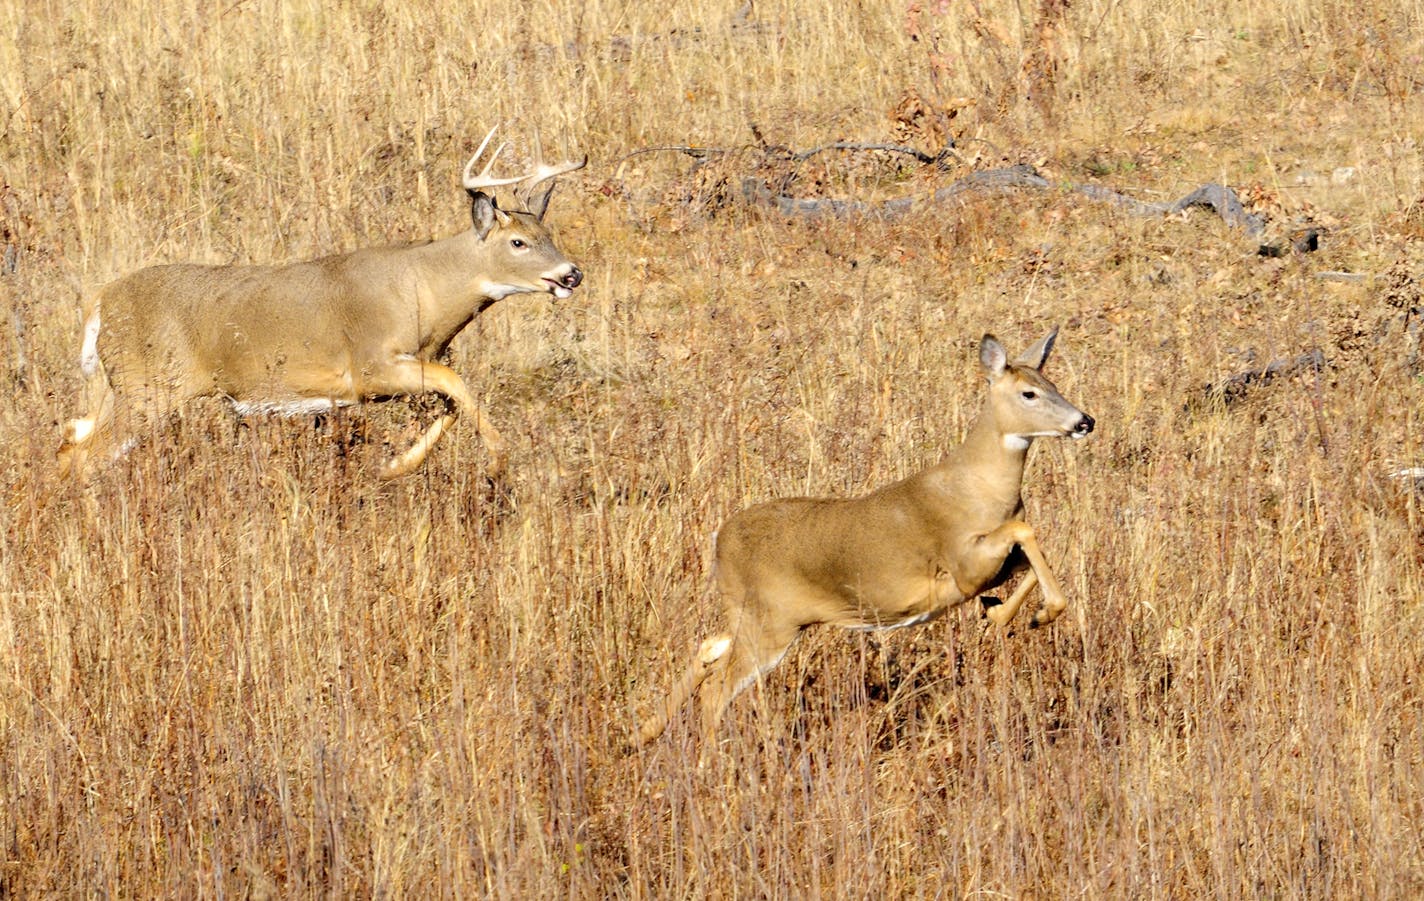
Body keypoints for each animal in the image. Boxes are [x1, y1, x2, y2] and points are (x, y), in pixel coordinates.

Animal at [56, 128, 583, 481]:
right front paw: (496, 459)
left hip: (117, 385)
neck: (425, 294)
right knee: (85, 456)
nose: (571, 274)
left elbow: (451, 399)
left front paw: (394, 466)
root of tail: (102, 302)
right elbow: (456, 384)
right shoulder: (368, 367)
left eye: (547, 233)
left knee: (69, 439)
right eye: (517, 242)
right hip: (150, 387)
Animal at [640, 327, 1093, 745]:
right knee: (716, 688)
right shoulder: (963, 564)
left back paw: (644, 732)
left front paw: (1014, 613)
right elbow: (1025, 530)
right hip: (770, 621)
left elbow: (1028, 557)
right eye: (1029, 393)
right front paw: (1031, 612)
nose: (1084, 421)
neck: (981, 490)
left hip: (749, 613)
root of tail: (720, 542)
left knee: (708, 648)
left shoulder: (991, 565)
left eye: (1054, 385)